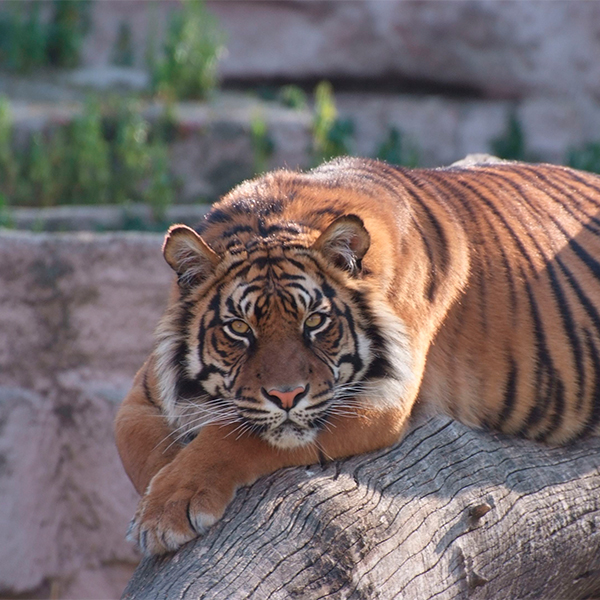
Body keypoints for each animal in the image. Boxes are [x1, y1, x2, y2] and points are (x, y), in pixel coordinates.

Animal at [116, 155, 600, 552]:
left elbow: (234, 436)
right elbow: (140, 447)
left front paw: (167, 509)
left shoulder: (378, 401)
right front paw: (158, 497)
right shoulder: (144, 391)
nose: (286, 396)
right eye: (240, 328)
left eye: (314, 322)